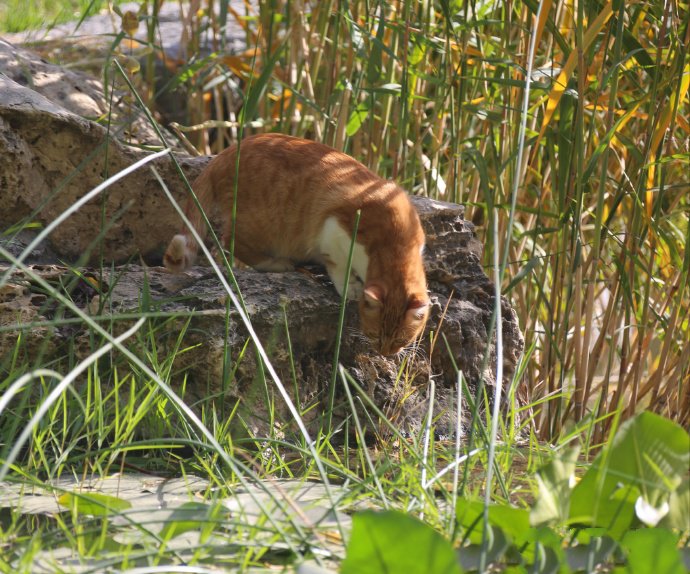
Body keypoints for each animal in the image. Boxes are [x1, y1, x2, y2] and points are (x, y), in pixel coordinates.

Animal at [164, 134, 428, 356]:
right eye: (374, 334)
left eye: (401, 340)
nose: (385, 353)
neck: (395, 239)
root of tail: (227, 152)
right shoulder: (333, 232)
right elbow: (338, 265)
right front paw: (350, 286)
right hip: (263, 225)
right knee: (230, 241)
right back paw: (277, 263)